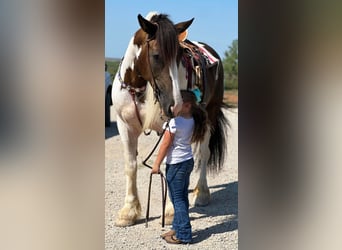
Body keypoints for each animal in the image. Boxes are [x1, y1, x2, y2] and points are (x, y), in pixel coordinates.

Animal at [113, 11, 230, 227]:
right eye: (156, 55)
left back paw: (201, 193)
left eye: (179, 57)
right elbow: (130, 165)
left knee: (204, 153)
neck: (139, 89)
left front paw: (170, 211)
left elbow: (170, 163)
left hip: (210, 116)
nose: (175, 105)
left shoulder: (169, 127)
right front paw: (128, 211)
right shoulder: (124, 126)